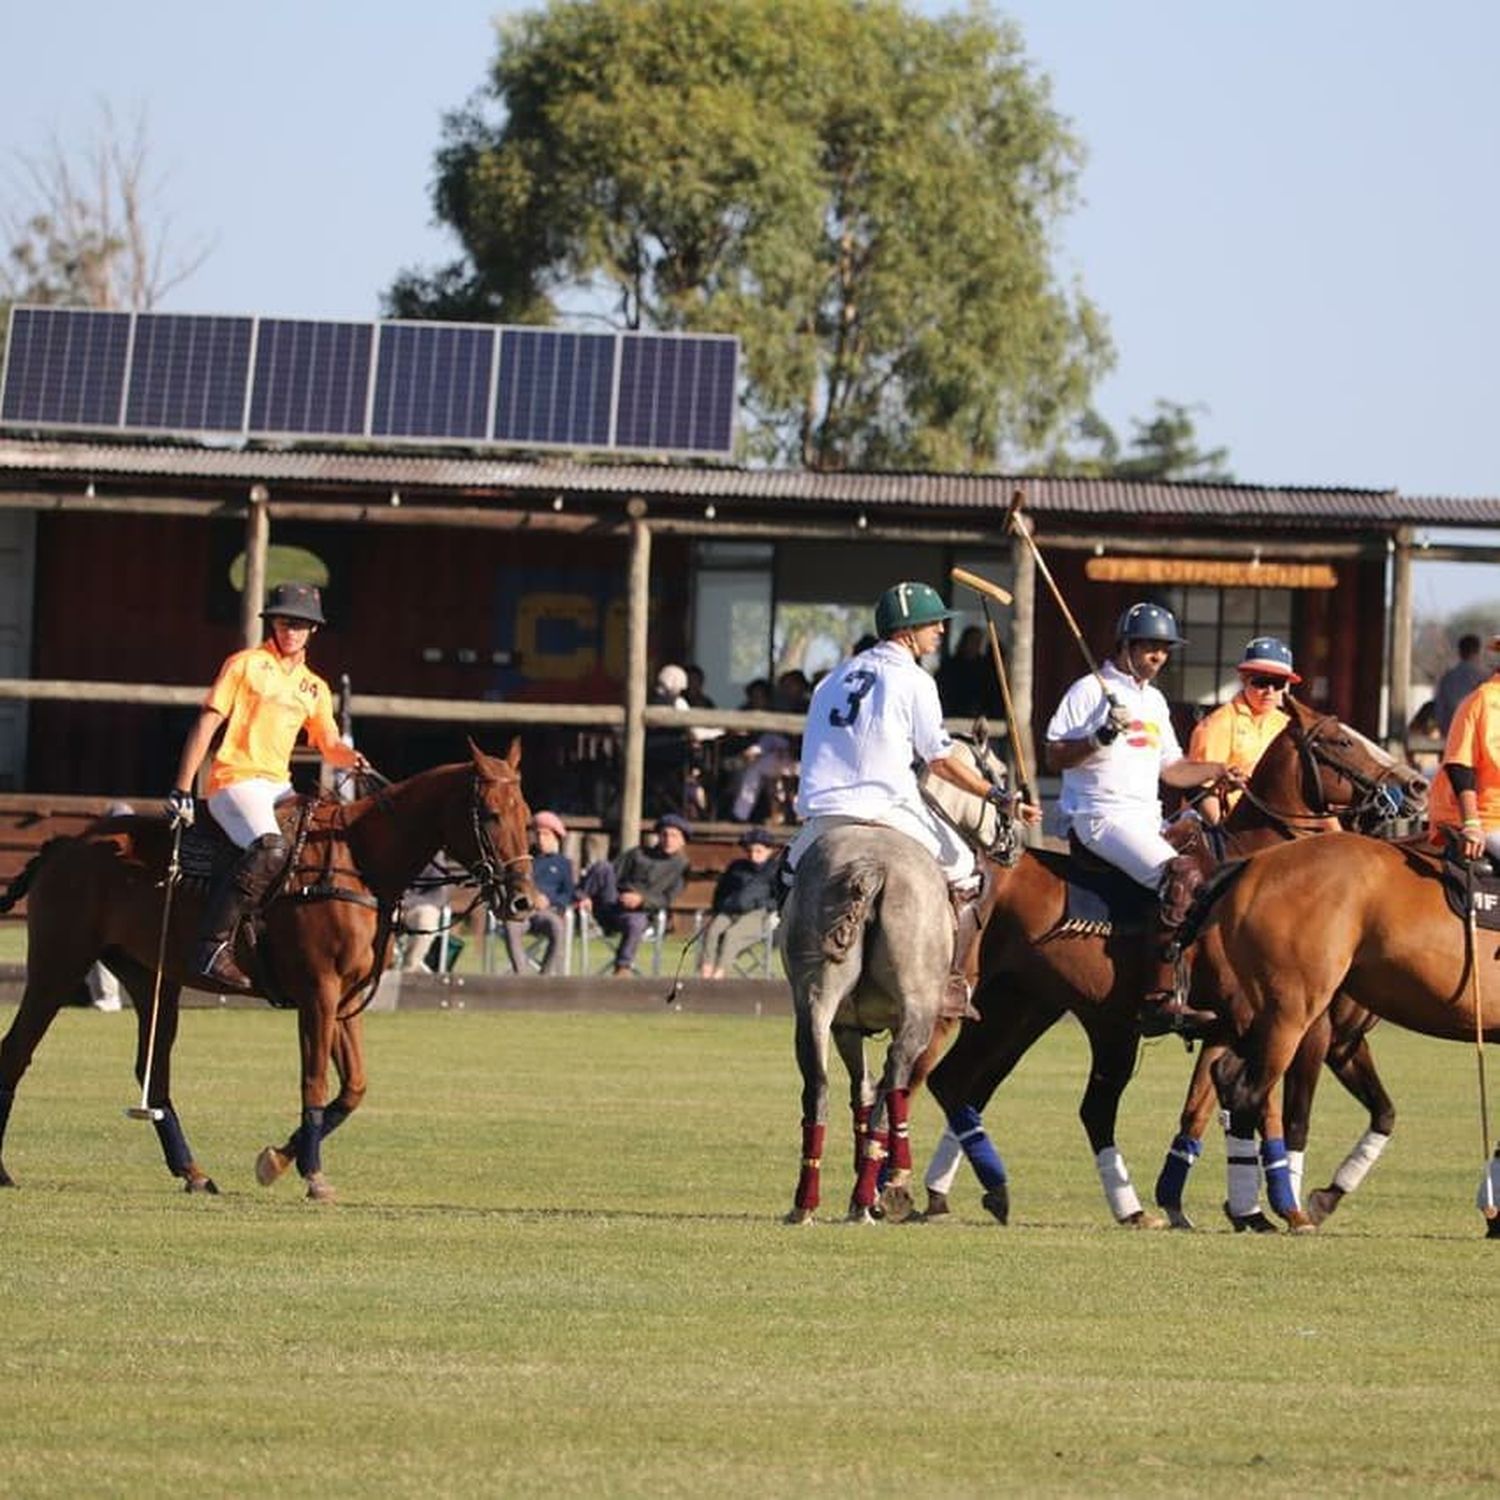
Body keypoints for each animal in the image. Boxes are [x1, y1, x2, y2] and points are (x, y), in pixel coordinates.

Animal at [0, 741, 537, 1206]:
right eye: (491, 815)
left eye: (527, 817)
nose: (522, 900)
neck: (360, 860)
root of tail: (64, 844)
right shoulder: (319, 992)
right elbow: (314, 1080)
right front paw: (312, 1175)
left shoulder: (346, 1000)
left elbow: (354, 1088)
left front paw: (277, 1160)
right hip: (58, 963)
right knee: (17, 1051)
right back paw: (5, 1171)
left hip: (149, 977)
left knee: (151, 1070)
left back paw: (194, 1173)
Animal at [918, 696, 1422, 1224]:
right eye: (1341, 741)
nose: (1415, 785)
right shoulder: (1280, 1024)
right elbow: (1269, 1110)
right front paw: (1280, 1208)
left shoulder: (1231, 1027)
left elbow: (1206, 1107)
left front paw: (1216, 1206)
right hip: (970, 1000)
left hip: (1025, 1008)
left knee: (962, 1084)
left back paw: (973, 1192)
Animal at [1194, 828, 1500, 1236]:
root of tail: (1253, 865)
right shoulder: (1322, 1035)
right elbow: (1298, 1116)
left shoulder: (1343, 1041)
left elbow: (1383, 1112)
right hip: (1291, 1013)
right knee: (1248, 1093)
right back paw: (1285, 1210)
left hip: (1260, 1013)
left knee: (1227, 1076)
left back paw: (1254, 1210)